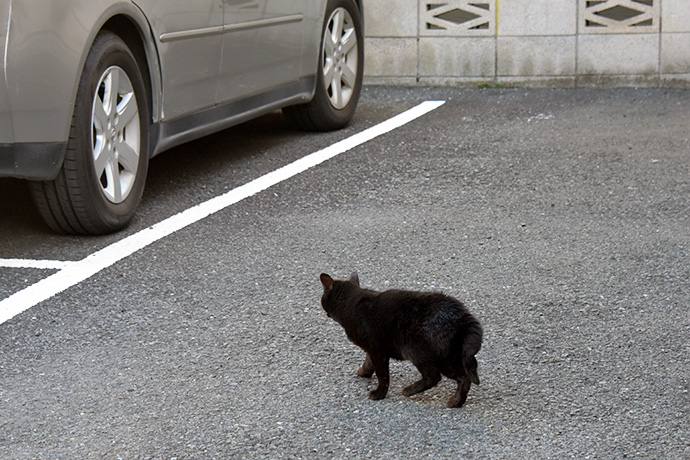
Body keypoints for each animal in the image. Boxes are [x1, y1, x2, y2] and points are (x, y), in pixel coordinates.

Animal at [320, 274, 482, 406]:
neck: (351, 304)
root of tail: (463, 317)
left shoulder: (377, 350)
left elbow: (383, 375)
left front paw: (379, 394)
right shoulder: (372, 350)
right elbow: (368, 363)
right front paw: (363, 372)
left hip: (418, 352)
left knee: (433, 377)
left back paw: (408, 391)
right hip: (449, 357)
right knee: (464, 377)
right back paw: (455, 402)